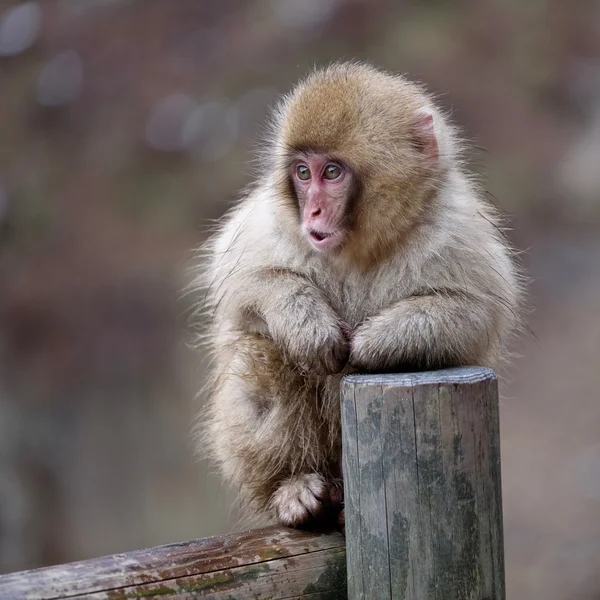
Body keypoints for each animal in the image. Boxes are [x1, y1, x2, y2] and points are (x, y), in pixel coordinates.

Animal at [191, 61, 520, 528]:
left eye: (332, 172)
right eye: (303, 173)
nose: (312, 210)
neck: (360, 248)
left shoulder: (456, 226)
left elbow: (473, 314)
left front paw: (373, 343)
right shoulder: (272, 220)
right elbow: (241, 278)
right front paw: (307, 325)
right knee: (262, 354)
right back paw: (291, 487)